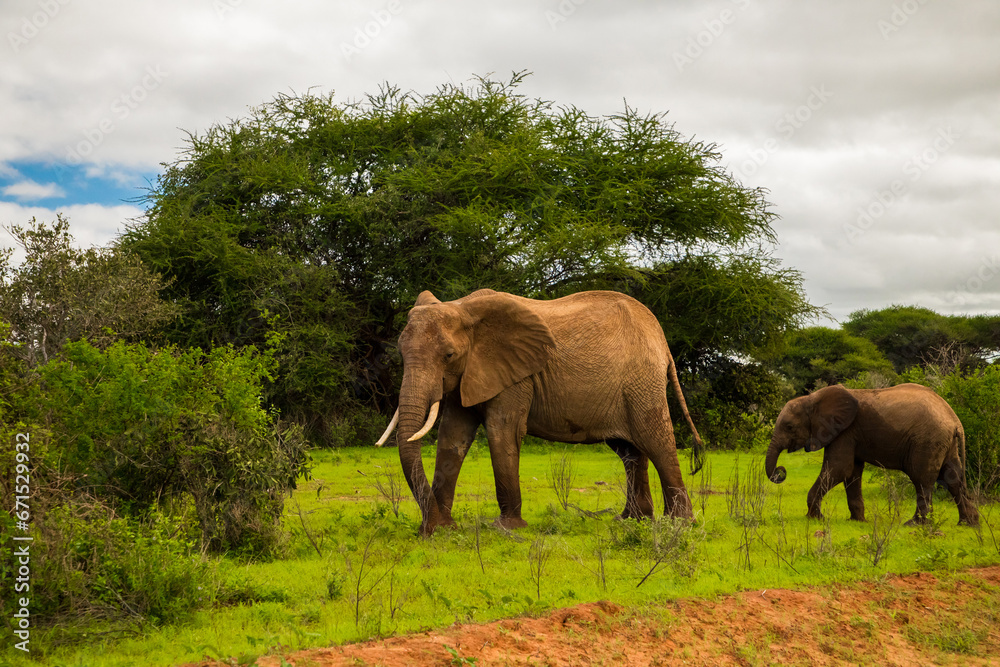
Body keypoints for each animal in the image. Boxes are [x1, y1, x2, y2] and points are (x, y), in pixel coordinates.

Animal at [376, 288, 705, 536]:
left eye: (448, 355)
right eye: (401, 353)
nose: (427, 528)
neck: (464, 310)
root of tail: (661, 338)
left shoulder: (516, 376)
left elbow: (502, 430)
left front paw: (507, 528)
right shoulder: (467, 375)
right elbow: (452, 438)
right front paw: (443, 529)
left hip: (642, 381)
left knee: (656, 441)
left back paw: (679, 524)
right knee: (629, 451)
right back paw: (631, 521)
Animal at [765, 383, 979, 527]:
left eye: (789, 427)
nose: (780, 470)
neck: (812, 399)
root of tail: (955, 420)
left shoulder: (845, 431)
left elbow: (839, 469)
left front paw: (815, 518)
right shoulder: (850, 434)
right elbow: (851, 472)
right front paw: (857, 521)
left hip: (927, 441)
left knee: (922, 479)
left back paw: (914, 524)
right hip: (945, 443)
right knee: (952, 478)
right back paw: (968, 523)